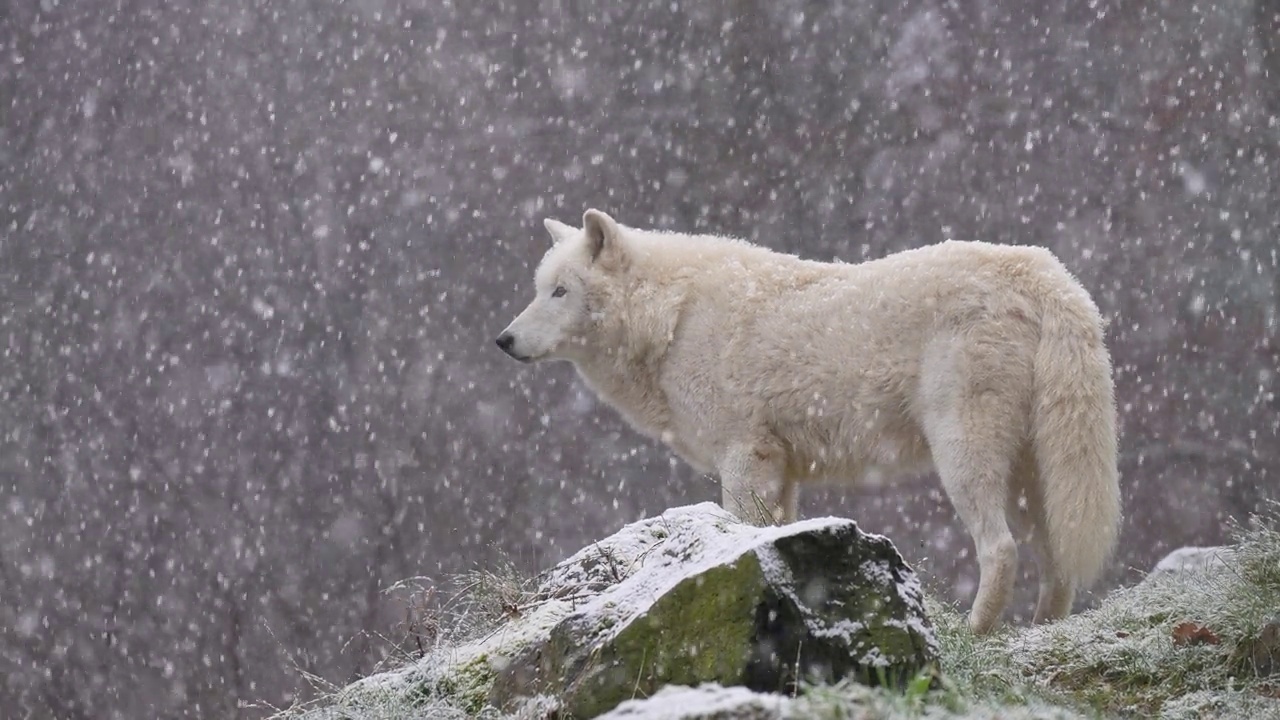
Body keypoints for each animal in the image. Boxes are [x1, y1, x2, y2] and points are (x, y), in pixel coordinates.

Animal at [496, 210, 1121, 630]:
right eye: (539, 290)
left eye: (560, 292)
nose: (503, 340)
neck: (672, 319)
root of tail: (1046, 273)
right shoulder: (783, 471)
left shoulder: (745, 456)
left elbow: (737, 528)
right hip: (1036, 476)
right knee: (1058, 564)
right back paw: (1040, 632)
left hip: (965, 456)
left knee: (1000, 550)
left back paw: (974, 633)